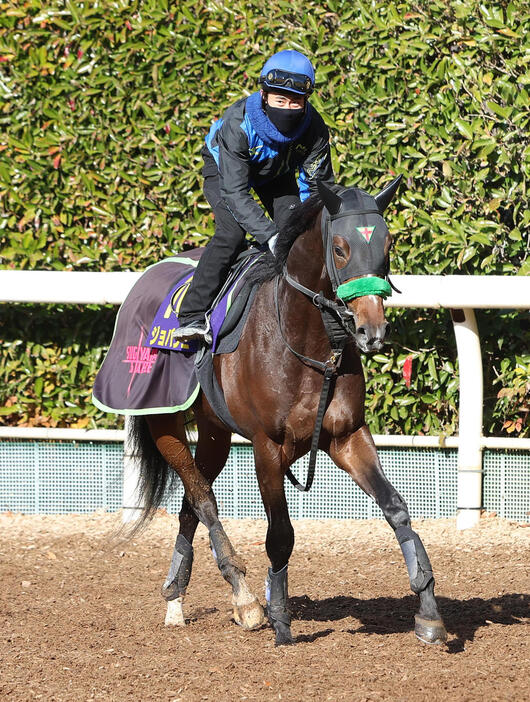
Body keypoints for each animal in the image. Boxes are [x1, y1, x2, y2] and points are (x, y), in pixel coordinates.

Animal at [129, 177, 446, 648]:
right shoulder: (268, 446)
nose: (372, 331)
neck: (306, 342)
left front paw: (428, 611)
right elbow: (280, 534)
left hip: (214, 430)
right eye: (340, 248)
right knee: (202, 497)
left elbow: (397, 509)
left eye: (387, 244)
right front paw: (279, 620)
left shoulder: (346, 436)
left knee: (190, 500)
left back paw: (176, 598)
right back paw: (245, 601)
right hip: (162, 418)